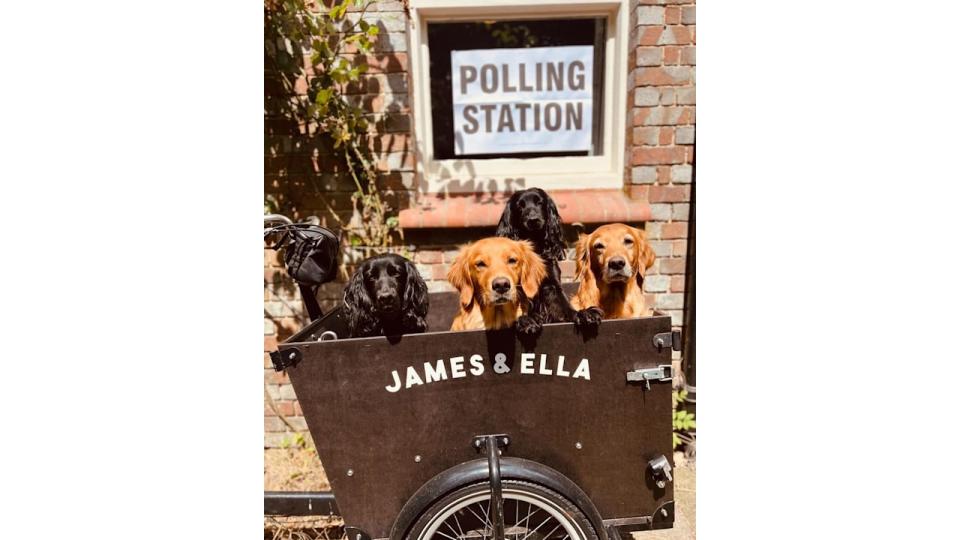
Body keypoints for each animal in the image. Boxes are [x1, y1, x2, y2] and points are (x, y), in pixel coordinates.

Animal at [496, 189, 600, 334]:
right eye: (520, 206)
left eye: (539, 202)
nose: (533, 220)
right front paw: (526, 321)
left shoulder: (552, 285)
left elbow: (565, 306)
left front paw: (583, 314)